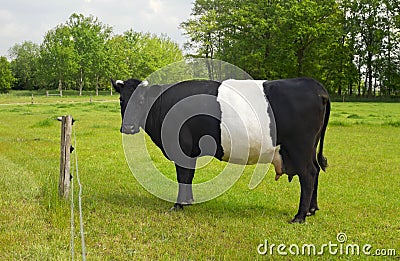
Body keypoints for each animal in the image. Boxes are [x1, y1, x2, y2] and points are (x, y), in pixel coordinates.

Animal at [111, 76, 330, 221]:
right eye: (122, 100)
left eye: (141, 101)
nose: (128, 128)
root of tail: (314, 85)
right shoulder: (190, 152)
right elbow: (188, 176)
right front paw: (188, 201)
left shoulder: (182, 147)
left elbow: (183, 176)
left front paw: (178, 205)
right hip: (309, 148)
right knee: (316, 171)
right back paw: (311, 210)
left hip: (300, 147)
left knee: (309, 174)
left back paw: (300, 217)